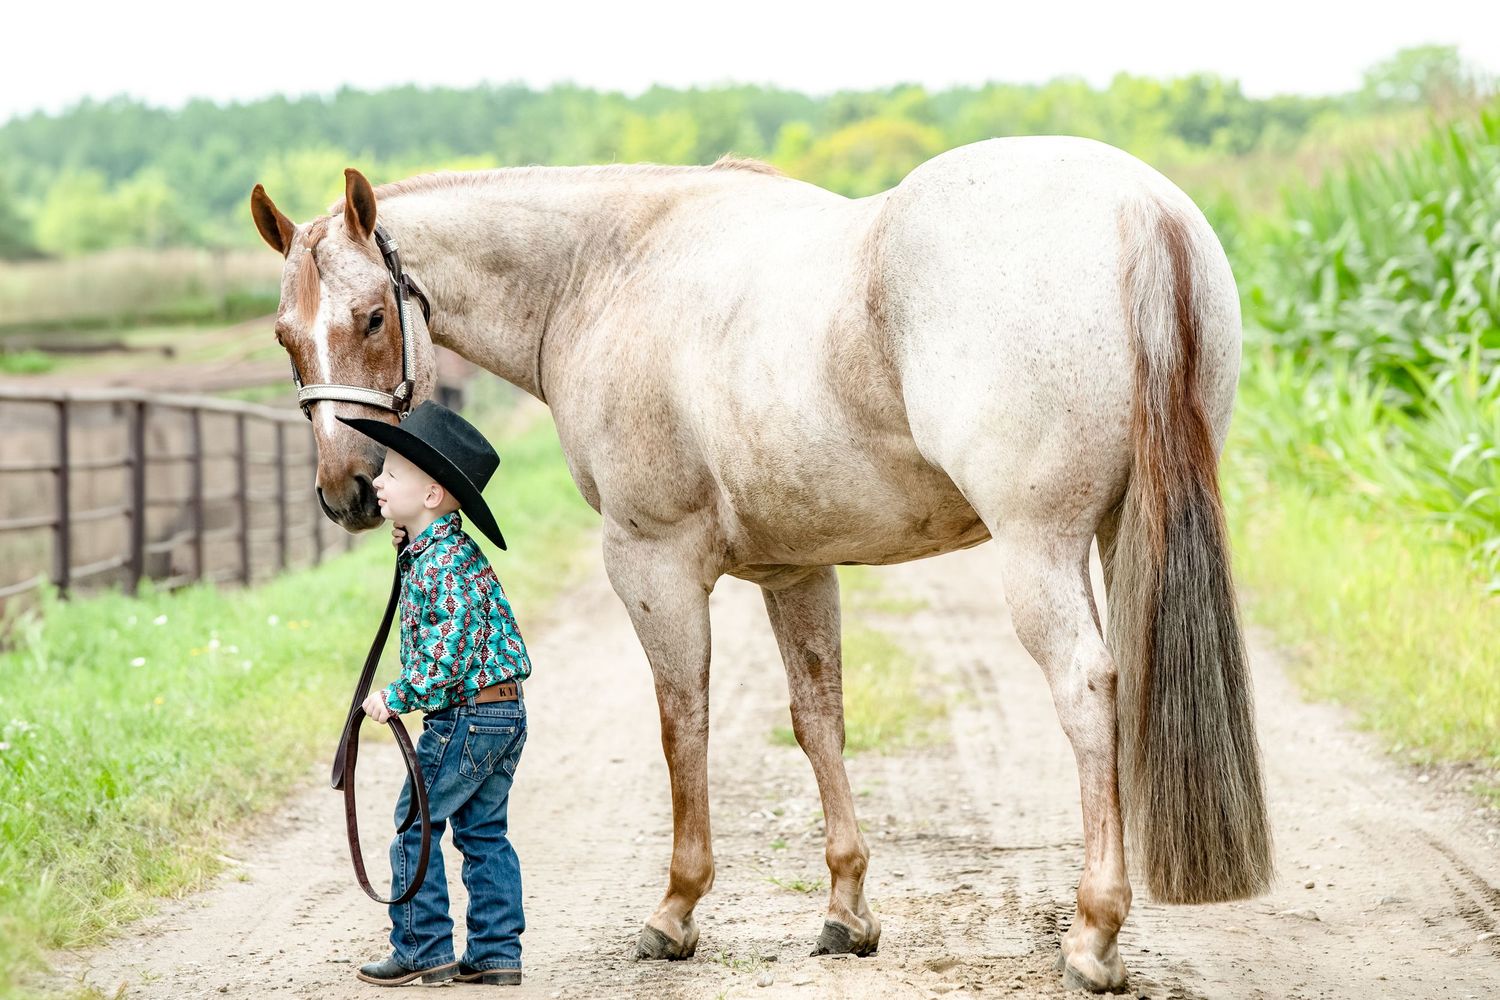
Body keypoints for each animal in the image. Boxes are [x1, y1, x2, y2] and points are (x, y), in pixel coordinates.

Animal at [250, 136, 1272, 993]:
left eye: (372, 317)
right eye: (285, 335)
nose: (348, 491)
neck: (605, 270)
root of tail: (1138, 208)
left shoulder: (652, 563)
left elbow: (683, 725)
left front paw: (675, 910)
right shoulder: (796, 571)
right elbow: (818, 721)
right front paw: (847, 912)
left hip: (1041, 546)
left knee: (1088, 688)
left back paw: (1093, 934)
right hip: (1122, 529)